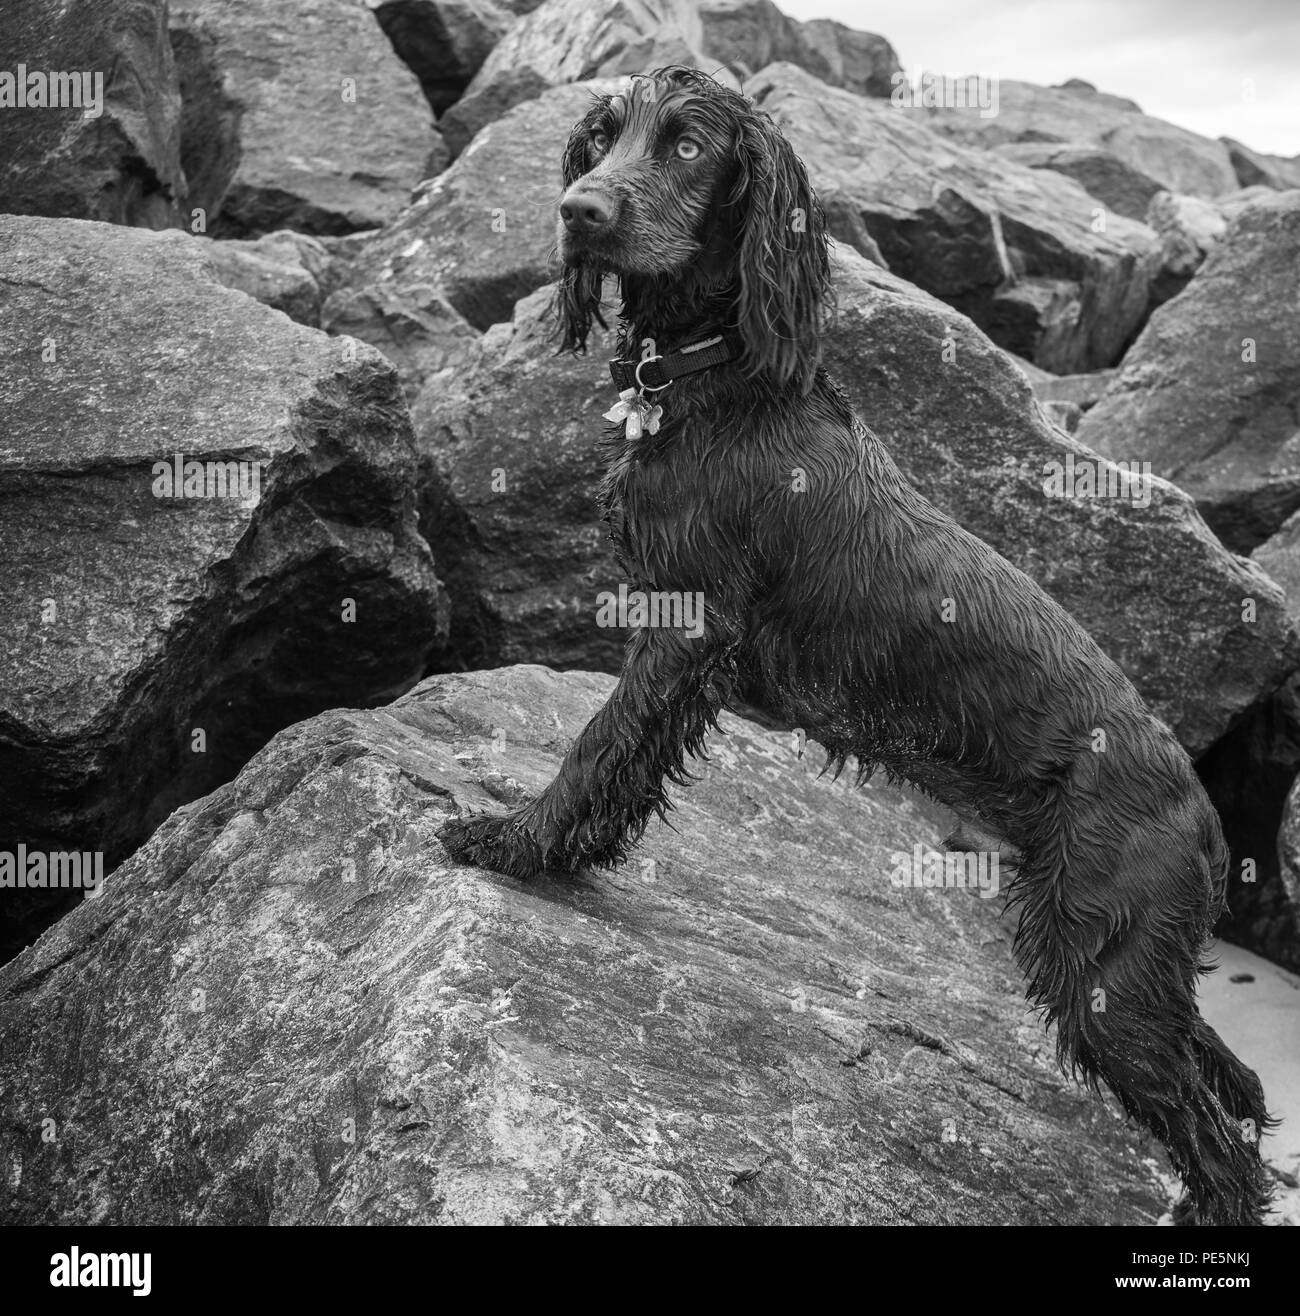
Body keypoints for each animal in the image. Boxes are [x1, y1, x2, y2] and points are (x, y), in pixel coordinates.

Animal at [442, 69, 1273, 1221]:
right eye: (600, 138)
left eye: (688, 146)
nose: (581, 211)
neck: (716, 380)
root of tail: (1201, 808)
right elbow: (624, 760)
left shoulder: (684, 627)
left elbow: (599, 746)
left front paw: (517, 841)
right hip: (1132, 961)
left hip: (1105, 966)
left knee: (1220, 1147)